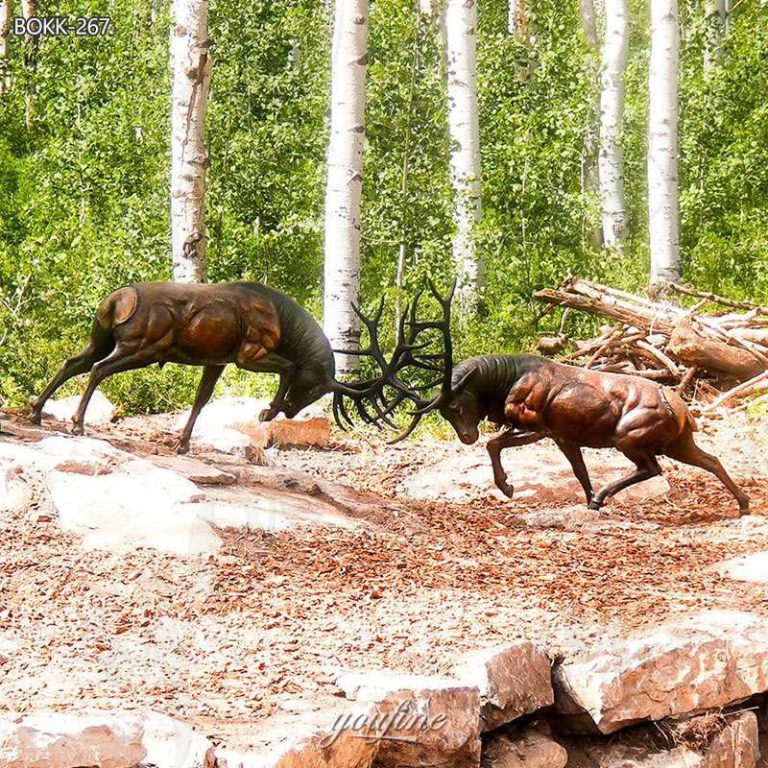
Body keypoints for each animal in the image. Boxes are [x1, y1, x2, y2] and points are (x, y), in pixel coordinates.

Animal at [30, 281, 404, 453]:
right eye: (314, 385)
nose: (293, 411)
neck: (287, 328)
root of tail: (115, 301)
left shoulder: (217, 361)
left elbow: (201, 400)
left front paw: (182, 444)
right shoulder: (248, 353)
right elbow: (286, 366)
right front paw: (268, 411)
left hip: (102, 338)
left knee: (73, 362)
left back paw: (35, 413)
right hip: (143, 345)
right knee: (98, 369)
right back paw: (77, 424)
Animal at [381, 284, 750, 515]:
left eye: (457, 405)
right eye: (443, 414)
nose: (466, 436)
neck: (503, 385)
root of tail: (683, 410)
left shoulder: (540, 426)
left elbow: (495, 443)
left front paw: (507, 487)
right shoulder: (565, 436)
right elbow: (579, 471)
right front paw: (587, 499)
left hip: (629, 437)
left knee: (653, 468)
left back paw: (604, 496)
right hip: (677, 442)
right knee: (710, 459)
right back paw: (743, 503)